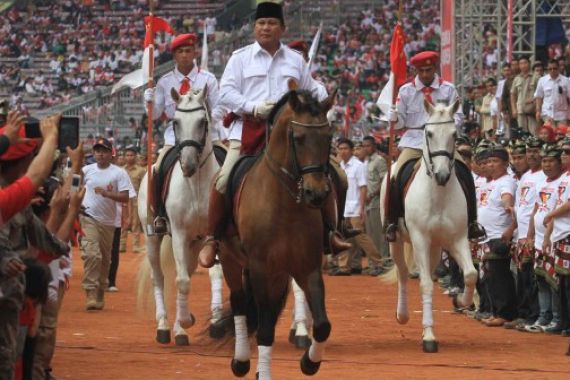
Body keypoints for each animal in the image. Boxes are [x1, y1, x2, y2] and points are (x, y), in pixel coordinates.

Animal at [138, 87, 224, 346]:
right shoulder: (178, 234)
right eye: (175, 121)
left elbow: (211, 274)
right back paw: (165, 326)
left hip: (195, 242)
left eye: (203, 121)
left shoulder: (211, 236)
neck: (196, 184)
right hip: (153, 237)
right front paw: (185, 322)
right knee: (159, 277)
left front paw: (209, 322)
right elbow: (182, 280)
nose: (187, 164)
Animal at [219, 87, 336, 378]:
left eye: (328, 137)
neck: (285, 205)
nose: (317, 193)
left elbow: (323, 325)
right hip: (230, 258)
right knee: (240, 303)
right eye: (298, 138)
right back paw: (241, 361)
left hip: (278, 273)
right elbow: (264, 330)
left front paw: (310, 362)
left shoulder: (307, 267)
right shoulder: (260, 267)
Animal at [380, 100, 478, 354]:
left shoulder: (457, 239)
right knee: (403, 273)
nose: (442, 175)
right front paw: (429, 337)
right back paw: (402, 314)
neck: (439, 193)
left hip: (435, 247)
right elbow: (425, 285)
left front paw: (461, 301)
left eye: (454, 134)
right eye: (429, 133)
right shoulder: (420, 239)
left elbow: (471, 274)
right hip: (397, 241)